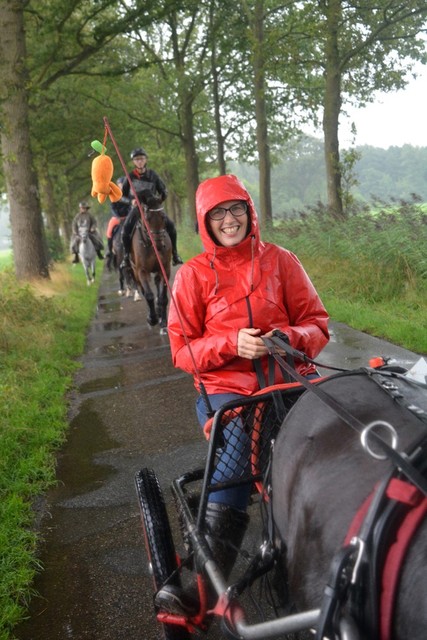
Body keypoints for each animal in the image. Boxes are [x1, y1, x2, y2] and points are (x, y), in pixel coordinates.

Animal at [130, 192, 172, 332]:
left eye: (163, 217)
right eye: (147, 218)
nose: (158, 245)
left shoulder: (165, 268)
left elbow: (163, 297)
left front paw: (164, 322)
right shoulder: (142, 271)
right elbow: (148, 295)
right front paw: (152, 319)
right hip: (136, 273)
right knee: (144, 291)